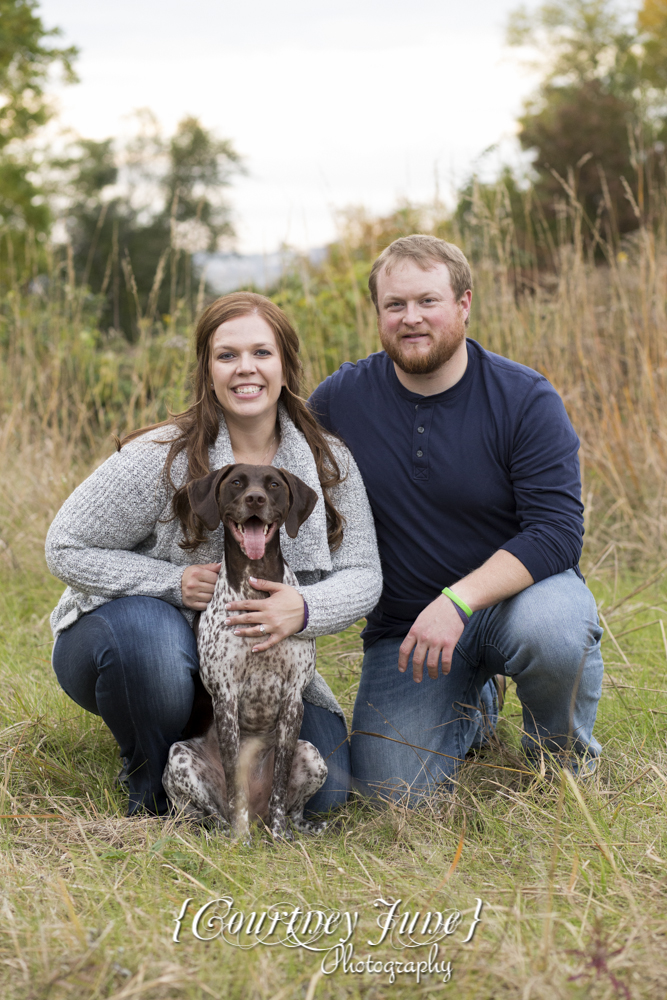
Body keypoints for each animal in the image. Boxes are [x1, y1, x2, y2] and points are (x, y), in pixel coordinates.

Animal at [162, 464, 328, 840]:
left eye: (274, 485)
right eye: (237, 482)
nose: (255, 499)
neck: (256, 585)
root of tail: (257, 815)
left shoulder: (293, 698)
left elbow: (280, 785)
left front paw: (280, 838)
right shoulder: (225, 696)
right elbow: (233, 778)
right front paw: (242, 842)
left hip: (313, 755)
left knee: (292, 810)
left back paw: (296, 830)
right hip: (179, 759)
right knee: (213, 813)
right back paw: (230, 832)